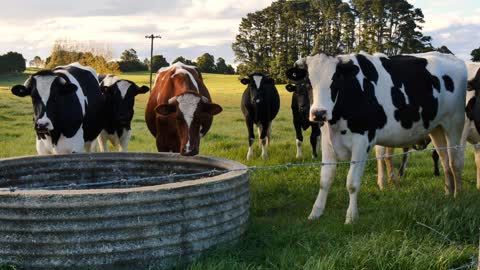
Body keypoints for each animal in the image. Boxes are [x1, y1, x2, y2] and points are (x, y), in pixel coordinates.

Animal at [286, 51, 466, 224]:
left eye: (335, 80)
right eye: (308, 83)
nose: (319, 113)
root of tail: (454, 59)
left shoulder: (362, 141)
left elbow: (352, 183)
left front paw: (351, 217)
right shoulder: (327, 141)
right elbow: (325, 179)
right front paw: (315, 213)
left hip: (455, 124)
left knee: (455, 161)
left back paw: (458, 197)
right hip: (437, 128)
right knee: (444, 160)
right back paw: (447, 192)